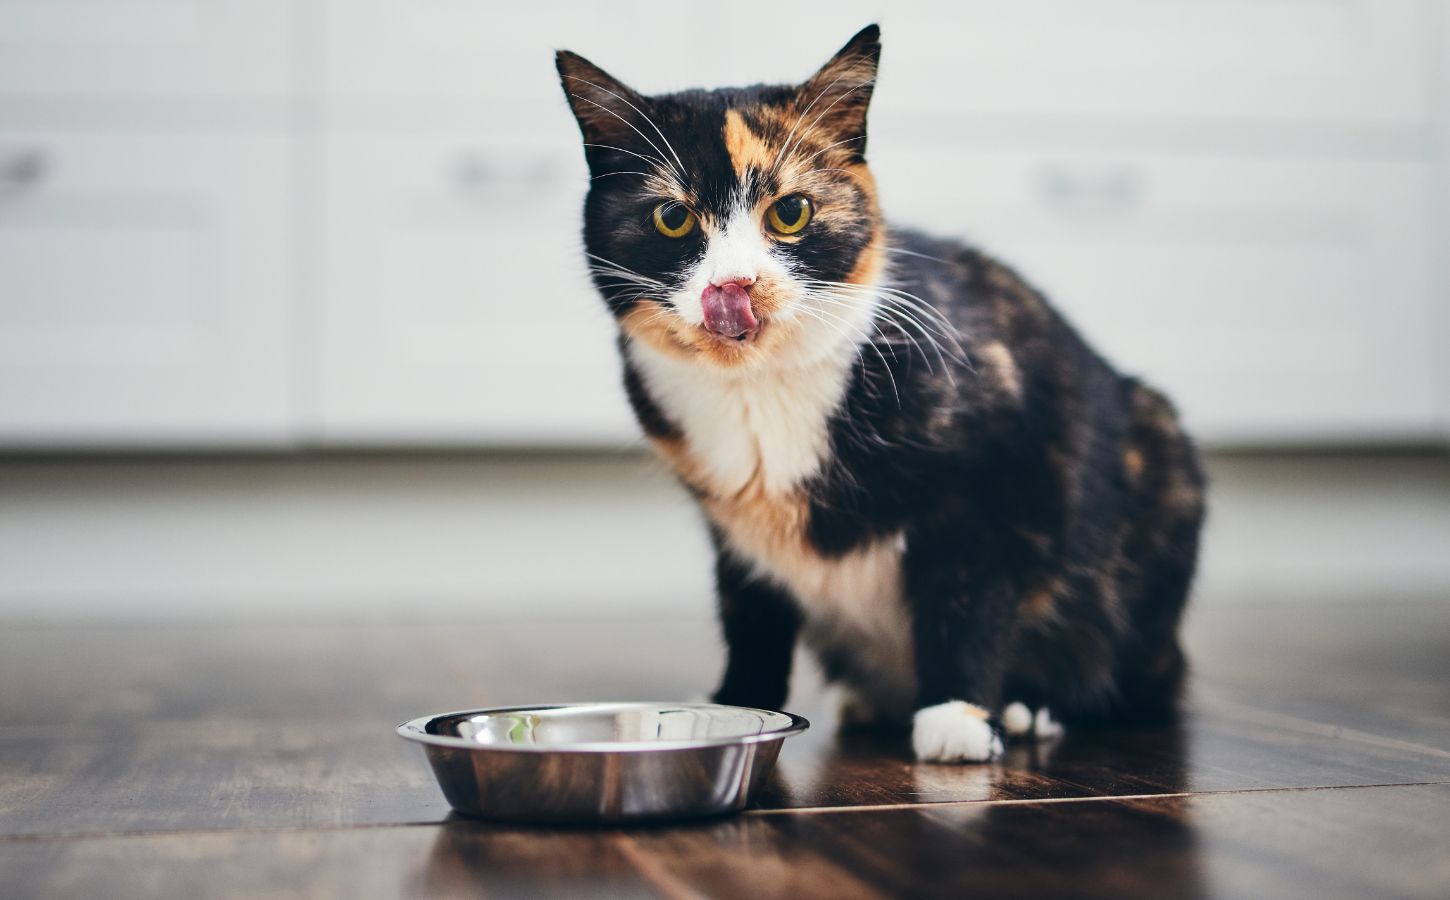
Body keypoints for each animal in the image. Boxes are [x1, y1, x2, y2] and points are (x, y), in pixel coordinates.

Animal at [551, 24, 1200, 759]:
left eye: (791, 211)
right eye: (671, 218)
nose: (734, 285)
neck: (760, 390)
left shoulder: (991, 474)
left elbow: (967, 594)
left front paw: (957, 715)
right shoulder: (734, 530)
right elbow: (750, 613)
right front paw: (737, 703)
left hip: (1157, 463)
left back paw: (1033, 706)